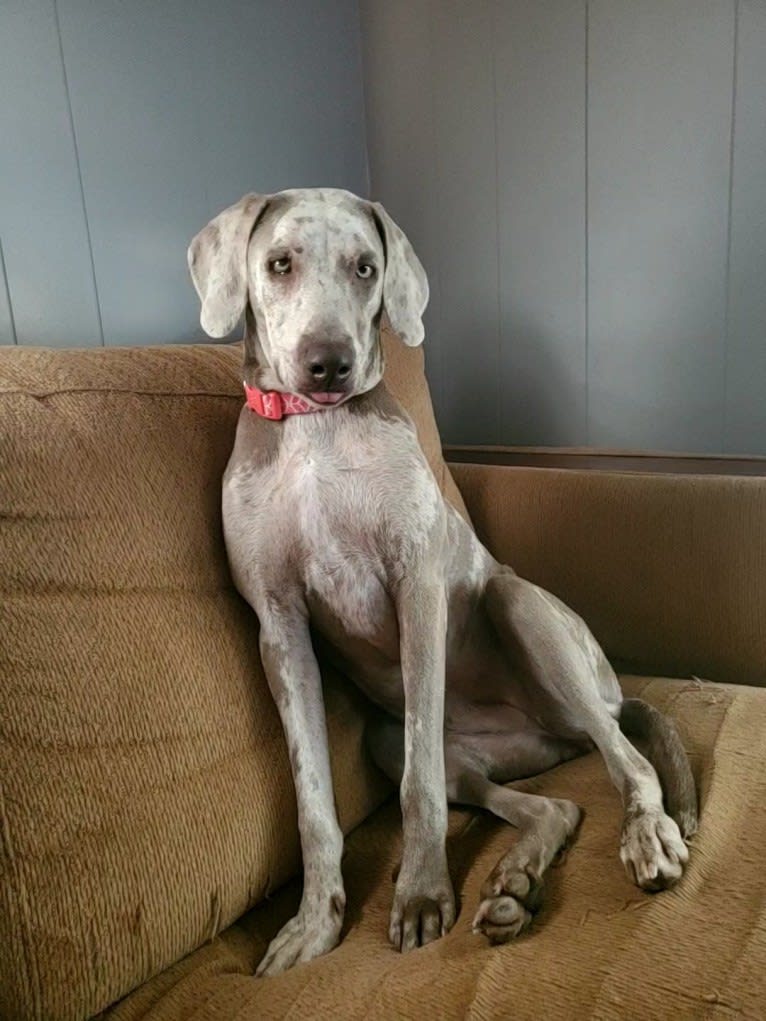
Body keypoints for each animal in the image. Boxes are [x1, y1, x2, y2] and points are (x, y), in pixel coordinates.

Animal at [188, 187, 698, 976]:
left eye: (366, 267)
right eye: (278, 263)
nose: (328, 364)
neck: (315, 434)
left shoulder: (417, 592)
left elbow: (418, 782)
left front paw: (422, 894)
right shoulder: (279, 627)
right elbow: (313, 802)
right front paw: (313, 921)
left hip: (521, 610)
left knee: (628, 760)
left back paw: (644, 835)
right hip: (394, 737)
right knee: (556, 803)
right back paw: (514, 886)